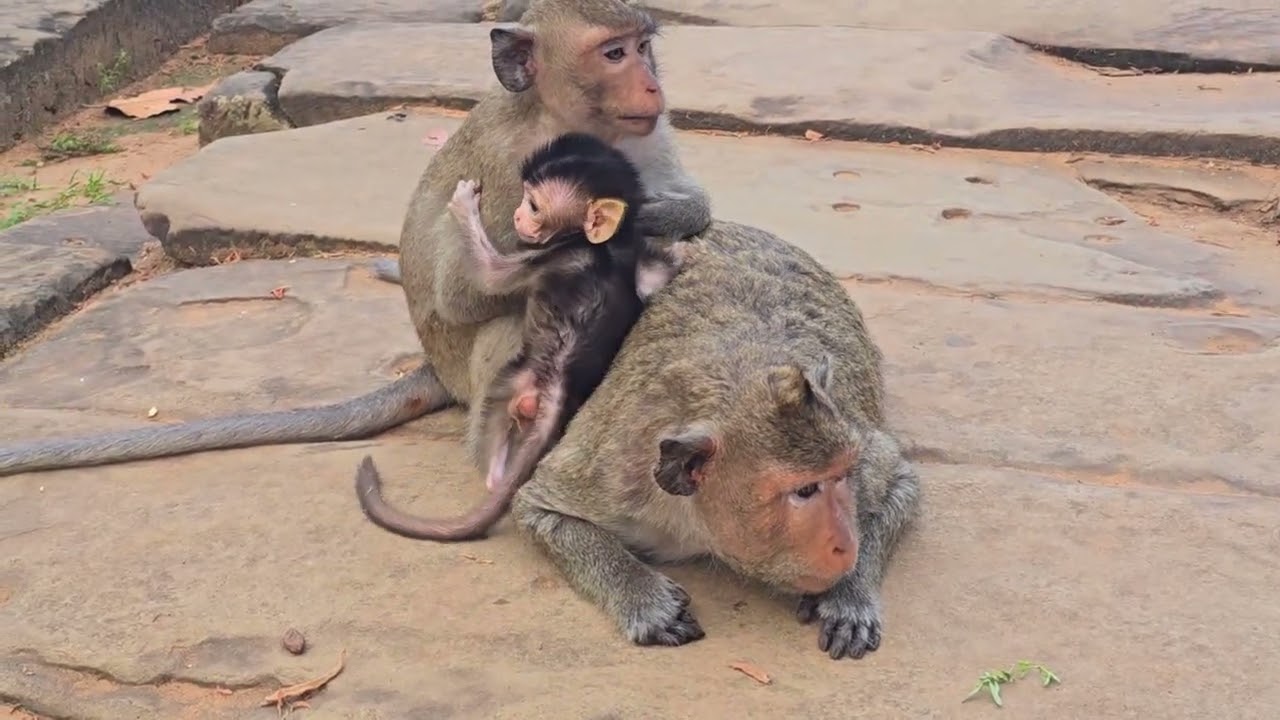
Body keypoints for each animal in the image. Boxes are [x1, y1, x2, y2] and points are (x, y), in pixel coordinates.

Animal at [0, 0, 710, 477]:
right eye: (614, 54)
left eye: (643, 46)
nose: (653, 83)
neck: (561, 116)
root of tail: (435, 369)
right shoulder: (516, 172)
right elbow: (467, 294)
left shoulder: (641, 134)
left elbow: (689, 202)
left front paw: (661, 219)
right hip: (467, 365)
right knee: (512, 323)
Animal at [357, 132, 685, 541]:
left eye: (533, 205)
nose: (516, 216)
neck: (604, 246)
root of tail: (556, 393)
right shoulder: (631, 258)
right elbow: (656, 275)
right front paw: (678, 252)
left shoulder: (554, 254)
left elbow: (490, 277)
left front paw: (464, 206)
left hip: (512, 385)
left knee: (494, 421)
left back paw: (496, 478)